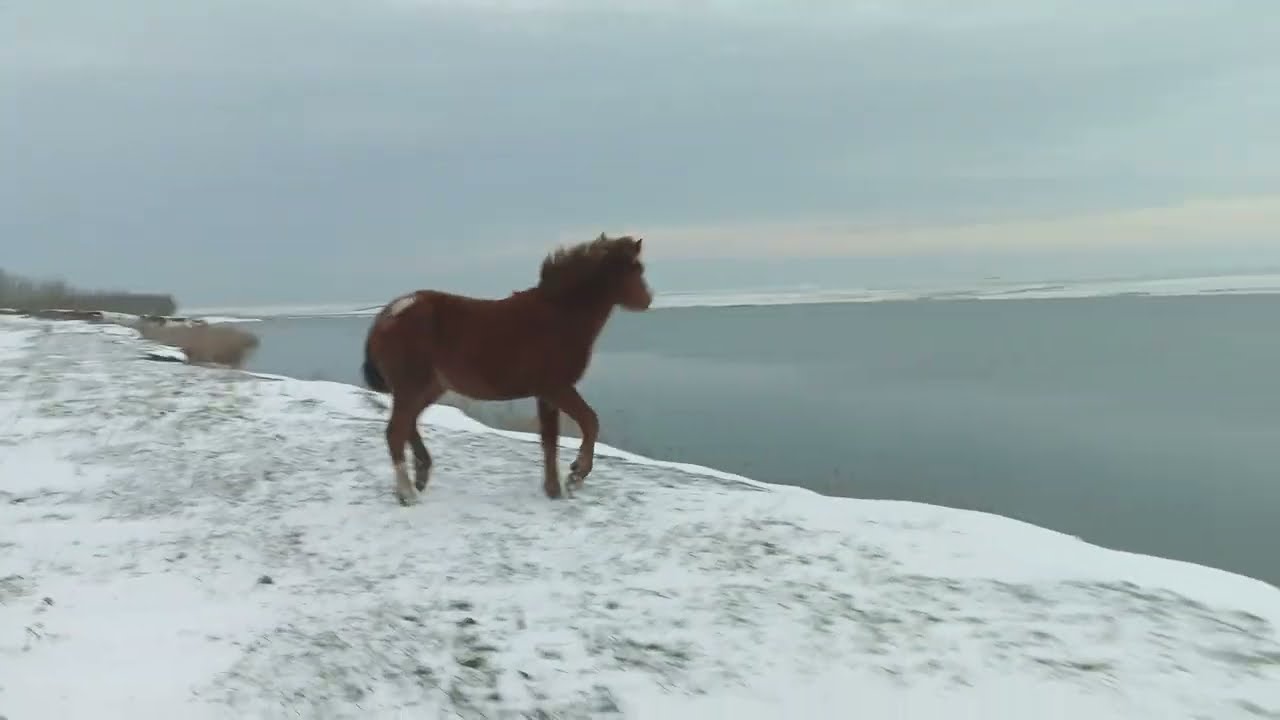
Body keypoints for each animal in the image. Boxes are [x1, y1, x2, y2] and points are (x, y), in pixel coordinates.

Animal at [360, 233, 653, 506]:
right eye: (635, 269)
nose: (648, 300)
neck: (559, 316)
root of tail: (388, 314)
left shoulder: (545, 395)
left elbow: (550, 441)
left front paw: (553, 489)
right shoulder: (556, 388)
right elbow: (590, 421)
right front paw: (576, 475)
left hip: (429, 387)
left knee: (408, 424)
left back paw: (421, 474)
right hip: (412, 386)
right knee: (395, 432)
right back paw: (407, 493)